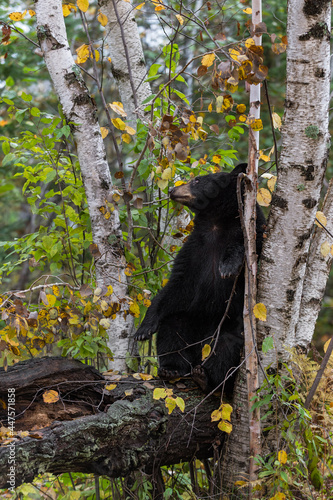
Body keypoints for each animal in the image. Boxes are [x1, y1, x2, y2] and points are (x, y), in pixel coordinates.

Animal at [134, 164, 264, 394]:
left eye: (197, 180)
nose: (172, 190)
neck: (215, 222)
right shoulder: (194, 249)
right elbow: (176, 285)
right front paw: (143, 330)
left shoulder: (251, 230)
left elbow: (247, 248)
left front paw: (228, 266)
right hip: (190, 320)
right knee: (172, 328)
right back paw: (171, 369)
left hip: (228, 329)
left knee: (225, 347)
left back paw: (208, 378)